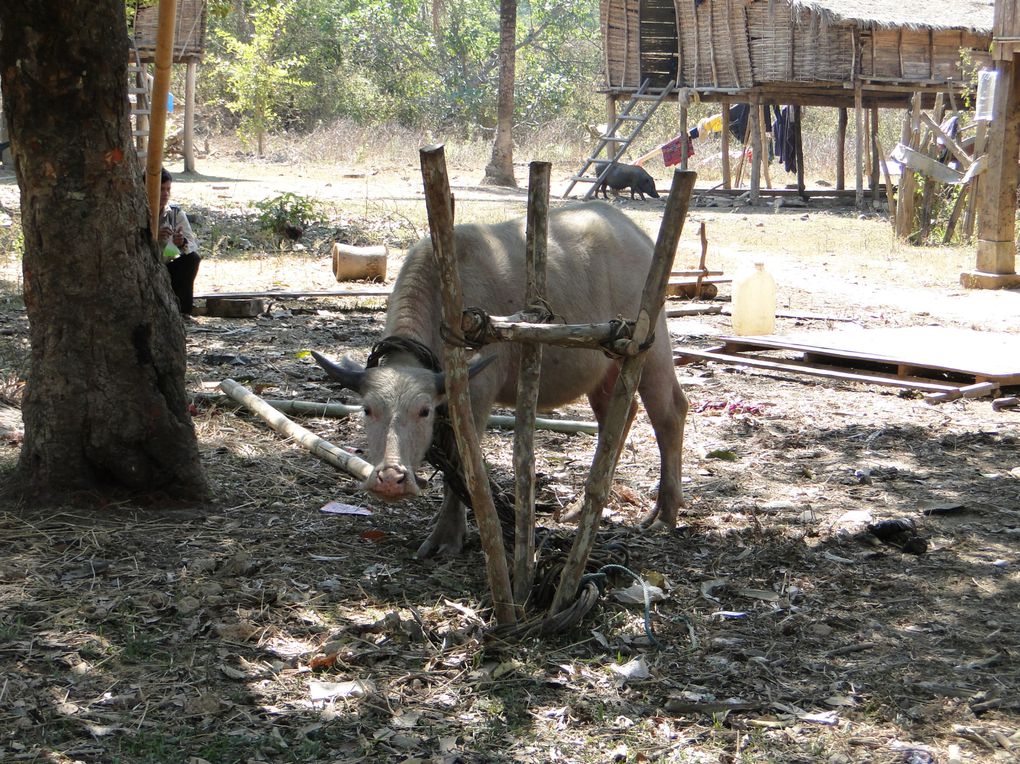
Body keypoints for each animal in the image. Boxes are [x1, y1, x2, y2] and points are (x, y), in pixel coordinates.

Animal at [314, 199, 689, 558]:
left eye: (423, 411)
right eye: (367, 410)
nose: (390, 480)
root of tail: (635, 233)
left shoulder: (476, 395)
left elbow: (465, 464)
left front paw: (447, 535)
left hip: (648, 346)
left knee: (670, 412)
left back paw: (665, 514)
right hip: (605, 367)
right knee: (618, 418)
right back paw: (582, 507)